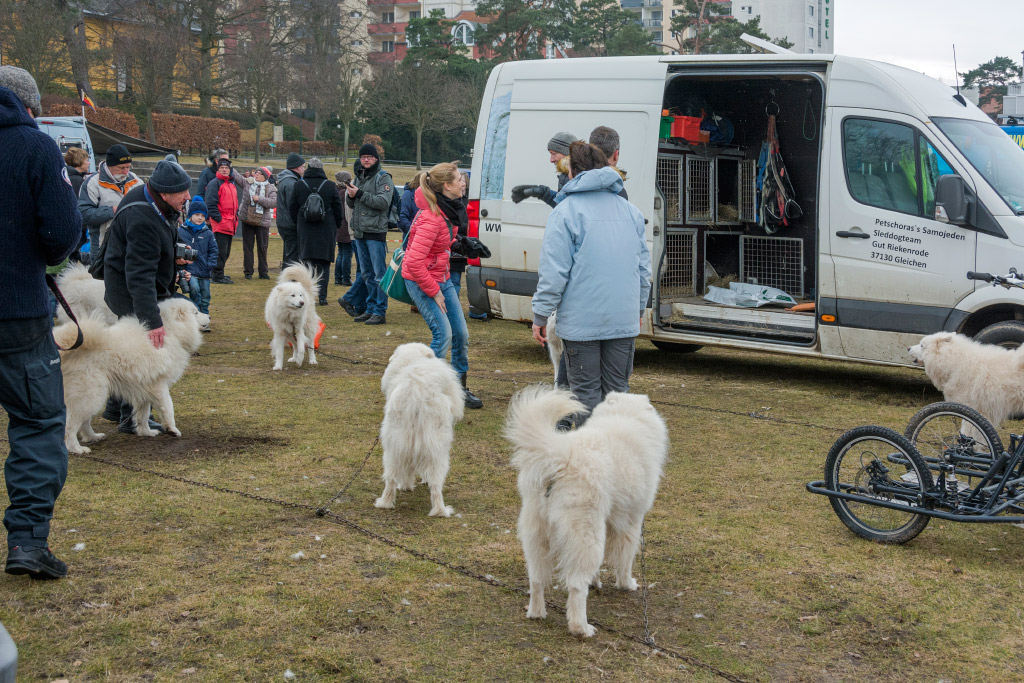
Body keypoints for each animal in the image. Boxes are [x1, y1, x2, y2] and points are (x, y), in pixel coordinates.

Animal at [53, 297, 208, 453]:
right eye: (196, 312)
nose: (209, 316)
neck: (172, 331)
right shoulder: (160, 386)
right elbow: (168, 408)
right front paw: (172, 429)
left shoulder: (144, 389)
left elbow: (142, 415)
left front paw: (146, 432)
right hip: (90, 394)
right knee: (70, 424)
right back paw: (76, 448)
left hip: (91, 396)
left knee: (84, 422)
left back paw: (92, 437)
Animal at [374, 343, 465, 517]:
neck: (412, 361)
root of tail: (416, 392)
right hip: (436, 448)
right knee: (435, 484)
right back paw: (440, 510)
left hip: (396, 445)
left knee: (392, 477)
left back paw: (387, 502)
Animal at [505, 386, 669, 637]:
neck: (625, 416)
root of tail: (559, 456)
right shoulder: (630, 522)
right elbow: (625, 559)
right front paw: (627, 584)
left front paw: (597, 581)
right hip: (586, 536)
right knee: (575, 586)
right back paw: (581, 627)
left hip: (536, 535)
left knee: (536, 580)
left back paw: (536, 613)